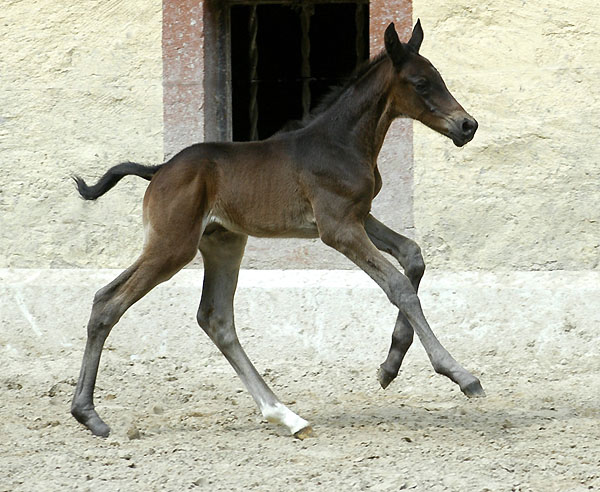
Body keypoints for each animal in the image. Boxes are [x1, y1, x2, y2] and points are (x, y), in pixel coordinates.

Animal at [71, 21, 482, 440]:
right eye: (421, 83)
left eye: (439, 77)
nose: (468, 126)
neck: (341, 142)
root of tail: (158, 170)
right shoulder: (338, 227)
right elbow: (398, 285)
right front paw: (460, 375)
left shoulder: (358, 216)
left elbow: (412, 255)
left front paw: (390, 366)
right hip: (171, 247)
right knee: (108, 302)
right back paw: (88, 414)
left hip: (222, 243)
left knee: (215, 318)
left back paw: (286, 415)